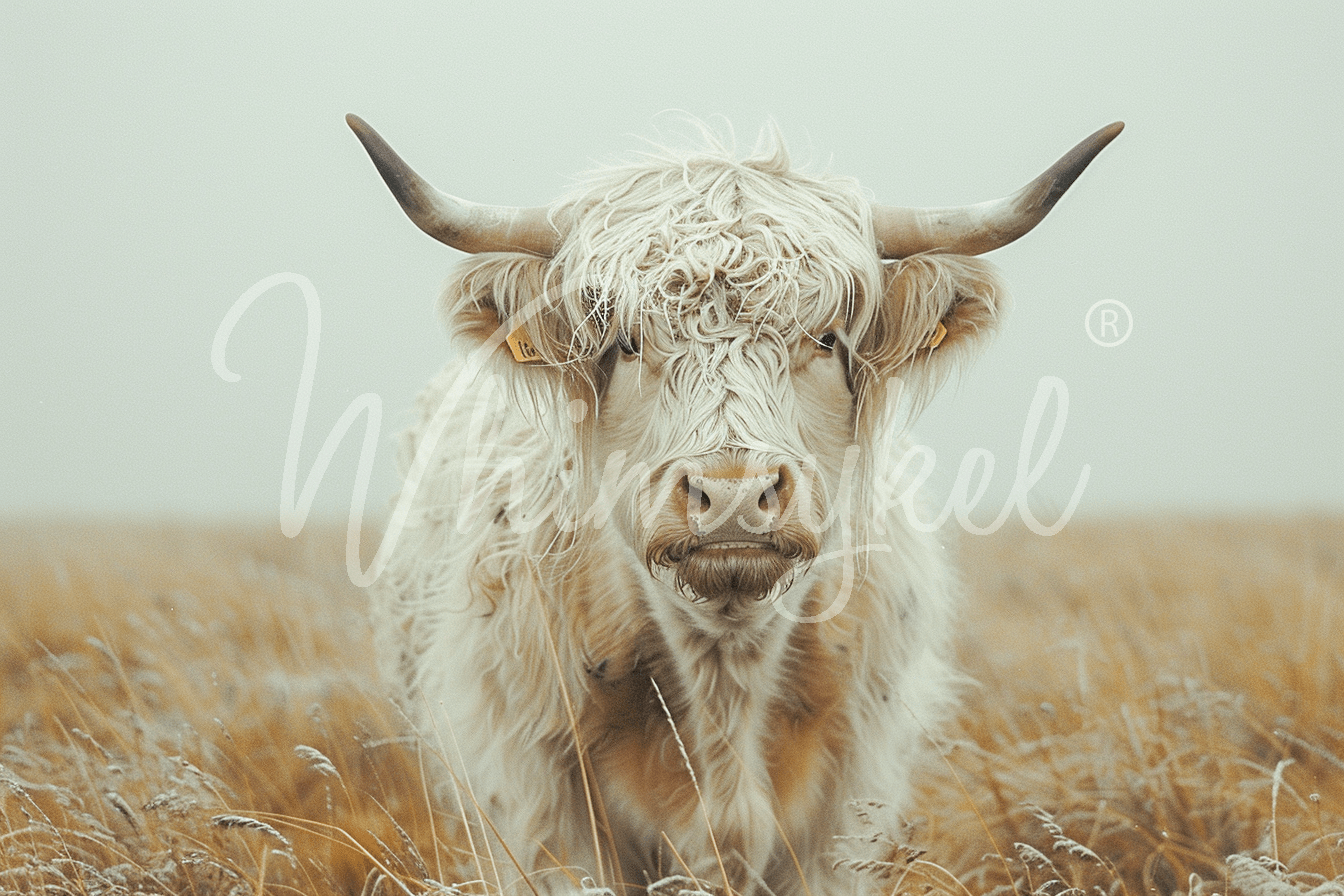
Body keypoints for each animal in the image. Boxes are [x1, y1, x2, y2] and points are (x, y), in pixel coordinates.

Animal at [349, 114, 1121, 896]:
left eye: (826, 337)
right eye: (627, 341)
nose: (733, 494)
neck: (724, 676)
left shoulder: (844, 817)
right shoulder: (539, 810)